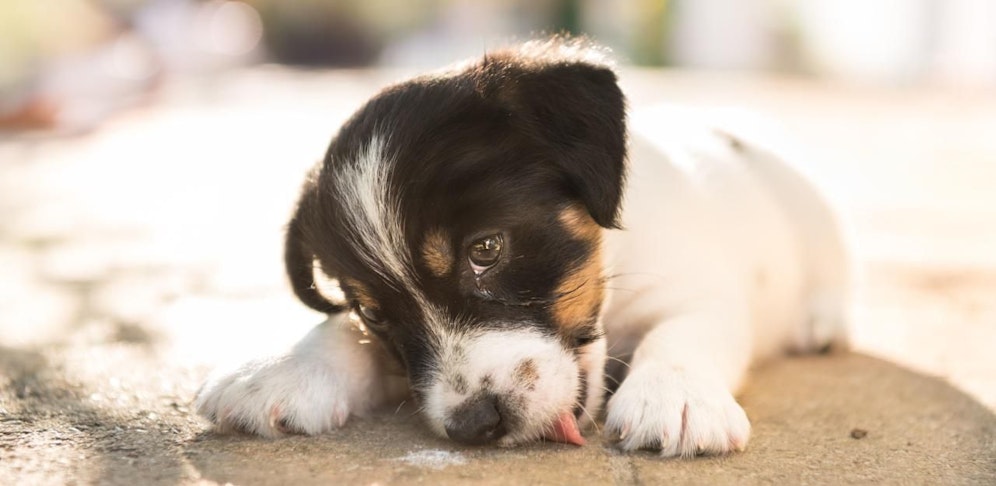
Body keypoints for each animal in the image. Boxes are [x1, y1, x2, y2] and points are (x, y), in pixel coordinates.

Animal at [195, 37, 848, 456]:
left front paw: (675, 397)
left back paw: (820, 321)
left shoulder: (699, 293)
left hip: (815, 217)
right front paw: (281, 369)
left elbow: (683, 335)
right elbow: (340, 332)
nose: (474, 426)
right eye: (373, 313)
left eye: (486, 250)